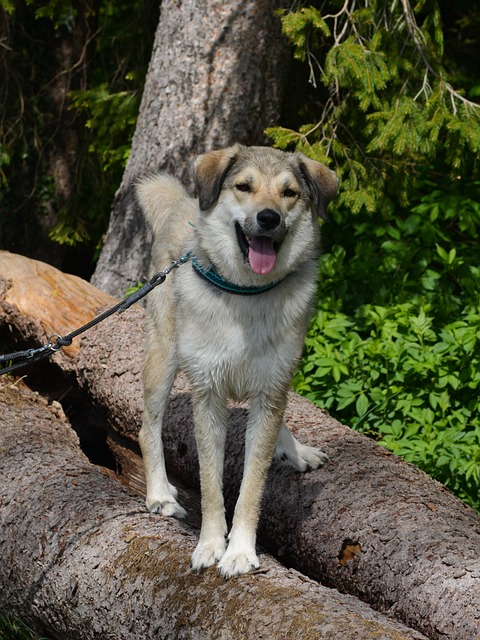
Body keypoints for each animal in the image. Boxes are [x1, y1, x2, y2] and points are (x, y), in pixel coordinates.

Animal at [135, 145, 338, 580]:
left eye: (289, 193)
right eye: (244, 186)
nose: (268, 218)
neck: (248, 294)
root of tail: (182, 204)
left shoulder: (271, 389)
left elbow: (252, 485)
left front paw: (240, 552)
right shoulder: (208, 396)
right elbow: (211, 487)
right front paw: (211, 546)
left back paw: (294, 449)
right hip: (162, 355)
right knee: (148, 427)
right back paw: (160, 495)